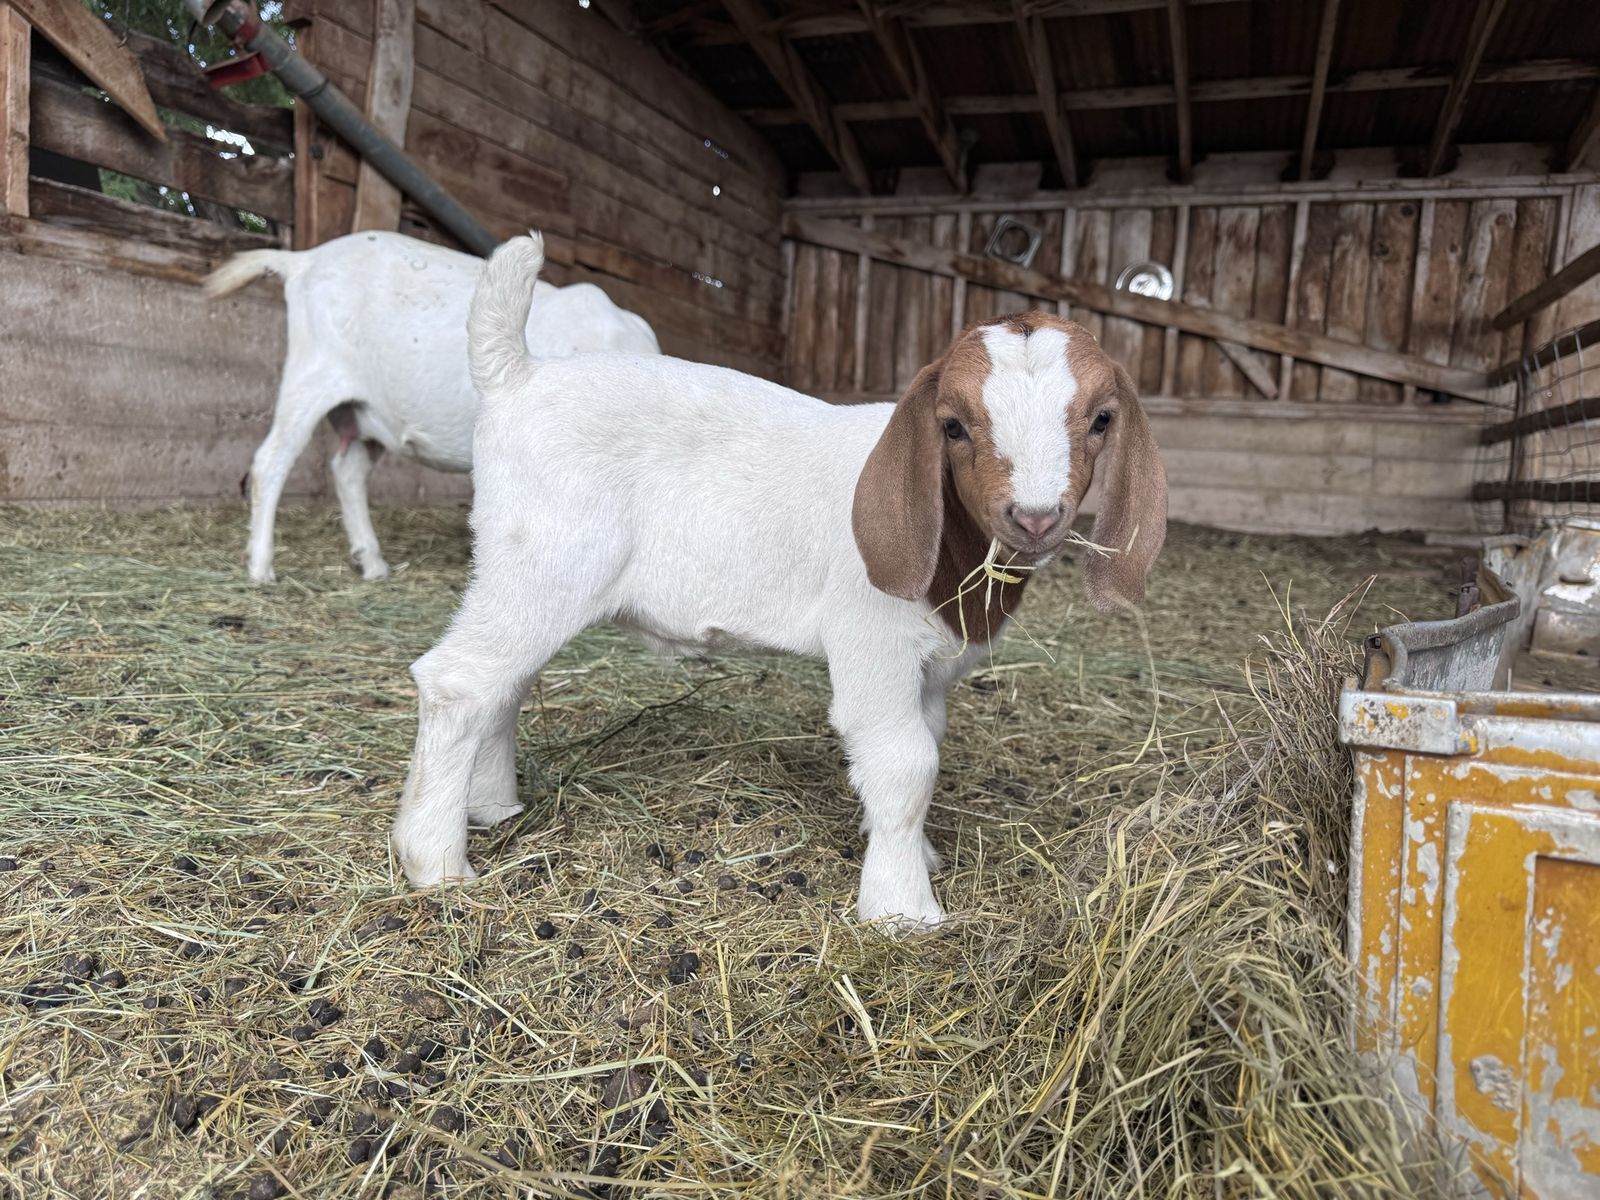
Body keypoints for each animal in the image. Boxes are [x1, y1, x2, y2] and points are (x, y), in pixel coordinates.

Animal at [204, 230, 660, 584]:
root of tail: (304, 259)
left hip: (367, 410)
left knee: (348, 471)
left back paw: (372, 562)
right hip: (310, 376)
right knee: (271, 461)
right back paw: (261, 566)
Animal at [390, 234, 1167, 929]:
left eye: (1102, 419)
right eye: (952, 425)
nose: (1034, 516)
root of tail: (517, 376)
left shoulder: (931, 668)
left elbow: (928, 745)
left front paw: (917, 855)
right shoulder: (872, 641)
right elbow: (905, 763)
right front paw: (902, 909)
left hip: (521, 575)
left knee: (505, 682)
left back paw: (492, 806)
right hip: (545, 559)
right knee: (459, 680)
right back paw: (436, 860)